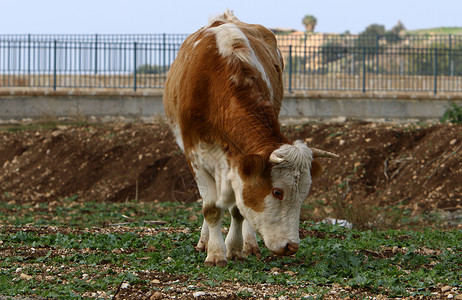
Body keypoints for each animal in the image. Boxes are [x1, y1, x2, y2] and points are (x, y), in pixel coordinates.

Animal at [164, 10, 338, 266]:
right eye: (277, 192)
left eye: (304, 193)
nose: (291, 246)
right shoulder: (195, 156)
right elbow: (211, 208)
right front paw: (215, 253)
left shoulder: (241, 164)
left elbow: (239, 209)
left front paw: (236, 248)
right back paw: (204, 241)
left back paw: (249, 244)